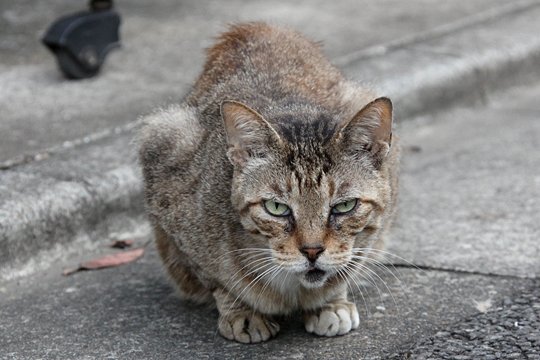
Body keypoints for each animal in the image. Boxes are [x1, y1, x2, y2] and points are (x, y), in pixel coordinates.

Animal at [139, 21, 400, 344]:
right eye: (277, 208)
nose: (312, 251)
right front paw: (241, 312)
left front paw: (332, 302)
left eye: (344, 206)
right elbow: (217, 281)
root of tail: (257, 27)